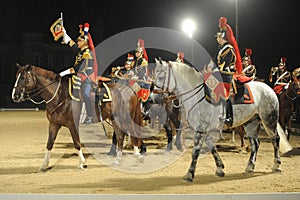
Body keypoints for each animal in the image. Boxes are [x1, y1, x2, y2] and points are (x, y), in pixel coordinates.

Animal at [11, 63, 143, 170]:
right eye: (17, 76)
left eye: (23, 77)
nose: (15, 96)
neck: (59, 95)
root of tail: (130, 90)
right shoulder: (54, 124)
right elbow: (49, 144)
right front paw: (44, 165)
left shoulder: (72, 124)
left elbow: (77, 143)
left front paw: (81, 163)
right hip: (116, 119)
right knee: (120, 137)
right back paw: (117, 161)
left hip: (125, 118)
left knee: (131, 133)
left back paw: (137, 156)